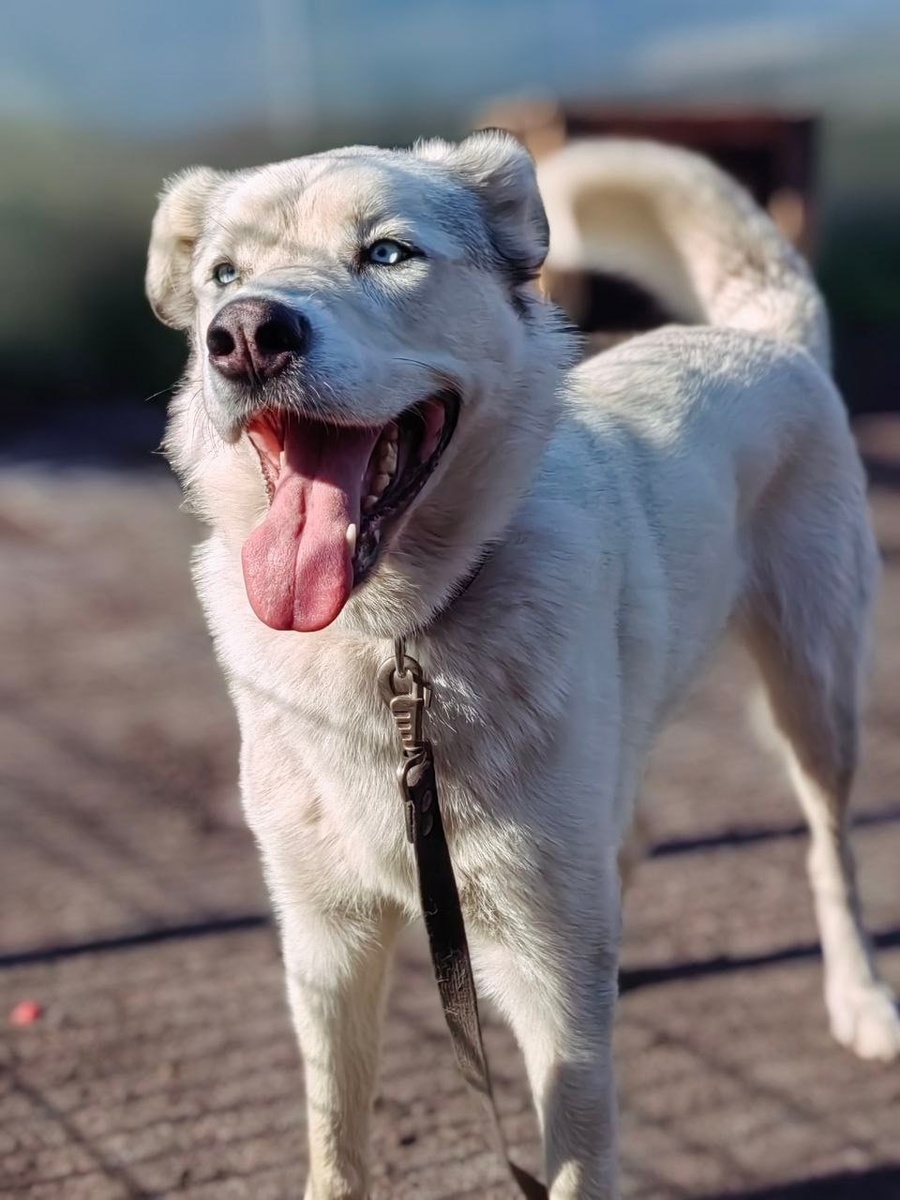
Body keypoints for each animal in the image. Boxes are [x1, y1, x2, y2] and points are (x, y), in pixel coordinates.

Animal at [146, 131, 900, 1199]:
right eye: (223, 274)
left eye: (387, 253)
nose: (246, 333)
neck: (396, 642)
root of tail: (766, 336)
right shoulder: (326, 944)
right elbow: (336, 1140)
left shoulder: (556, 995)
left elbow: (576, 1161)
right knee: (635, 831)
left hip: (815, 698)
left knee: (830, 853)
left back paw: (861, 998)